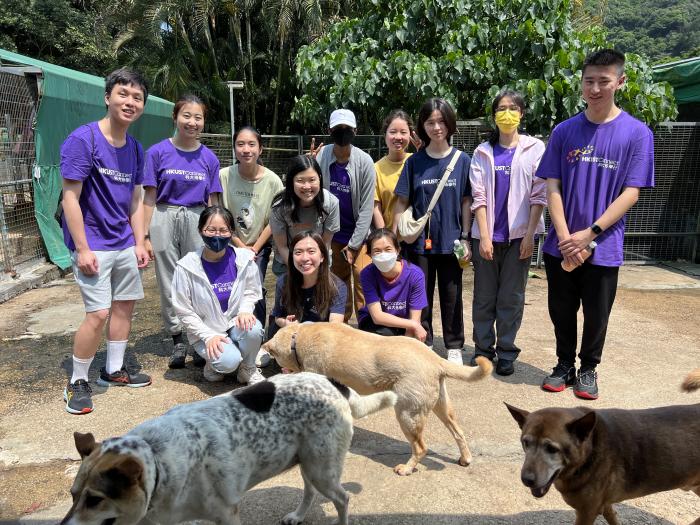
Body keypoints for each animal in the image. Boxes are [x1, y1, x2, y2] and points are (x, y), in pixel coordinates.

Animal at [60, 370, 396, 520]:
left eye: (95, 500)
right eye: (73, 495)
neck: (159, 461)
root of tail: (332, 382)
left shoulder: (226, 515)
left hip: (322, 468)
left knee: (342, 499)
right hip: (310, 463)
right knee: (311, 491)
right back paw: (298, 516)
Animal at [260, 324, 494, 474]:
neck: (297, 336)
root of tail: (435, 359)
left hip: (407, 414)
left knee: (420, 447)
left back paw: (407, 469)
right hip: (439, 406)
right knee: (458, 431)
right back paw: (465, 458)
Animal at [506, 400, 700, 520]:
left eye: (552, 449)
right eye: (526, 443)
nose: (527, 480)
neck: (590, 449)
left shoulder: (586, 513)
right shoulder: (604, 506)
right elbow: (613, 517)